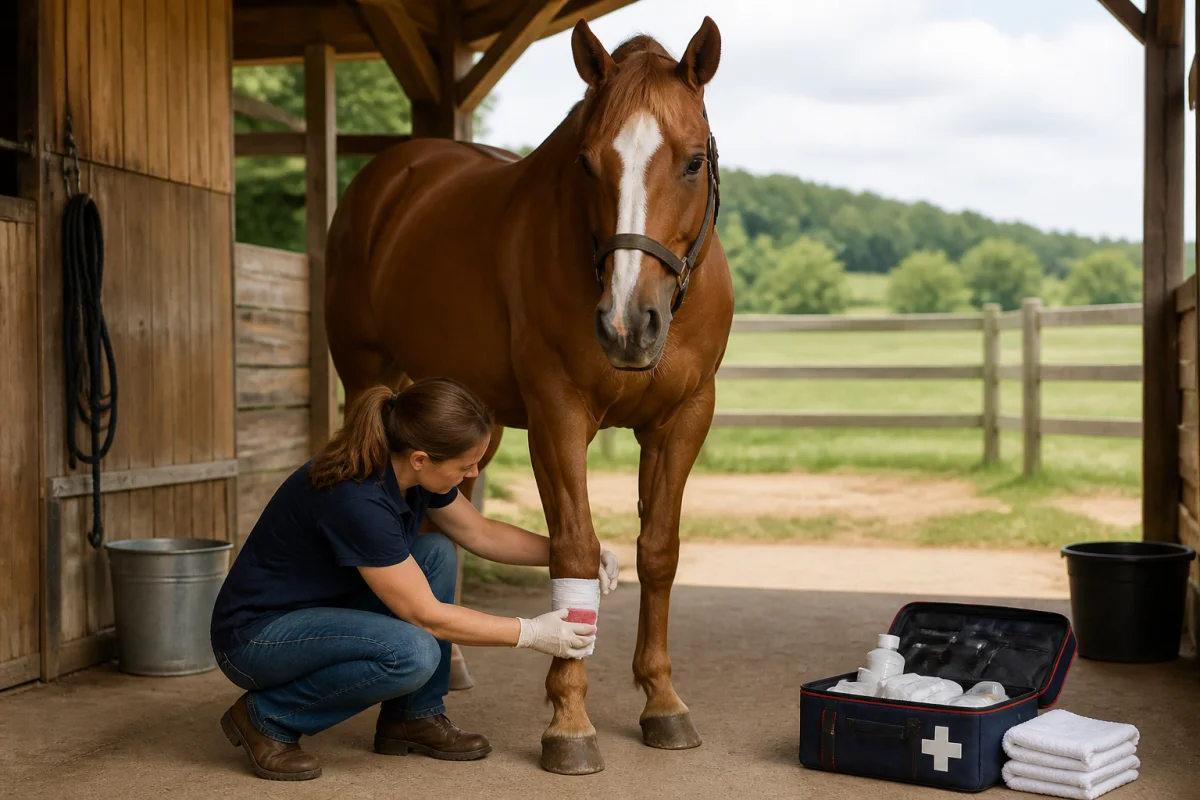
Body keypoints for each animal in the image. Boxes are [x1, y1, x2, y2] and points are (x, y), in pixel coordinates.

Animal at [324, 16, 733, 775]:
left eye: (693, 161)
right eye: (588, 163)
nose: (627, 325)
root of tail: (393, 177)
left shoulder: (683, 418)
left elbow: (659, 551)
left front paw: (662, 702)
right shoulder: (556, 414)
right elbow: (571, 550)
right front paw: (569, 720)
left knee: (439, 526)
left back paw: (452, 665)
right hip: (368, 376)